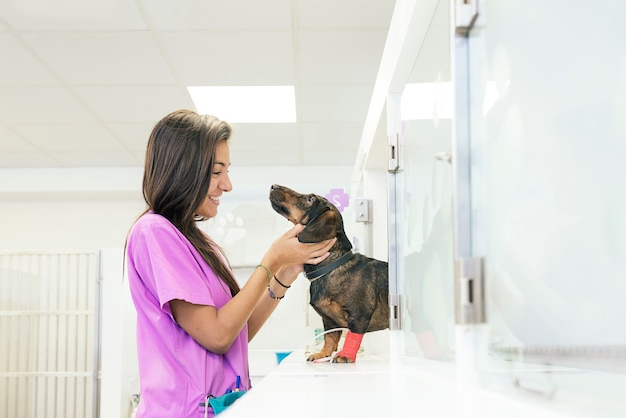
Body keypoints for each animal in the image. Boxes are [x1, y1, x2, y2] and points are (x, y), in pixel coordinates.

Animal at [266, 183, 386, 362]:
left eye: (310, 199)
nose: (273, 186)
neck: (332, 268)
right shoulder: (329, 321)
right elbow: (329, 338)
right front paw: (322, 354)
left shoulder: (359, 315)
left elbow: (353, 337)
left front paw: (345, 355)